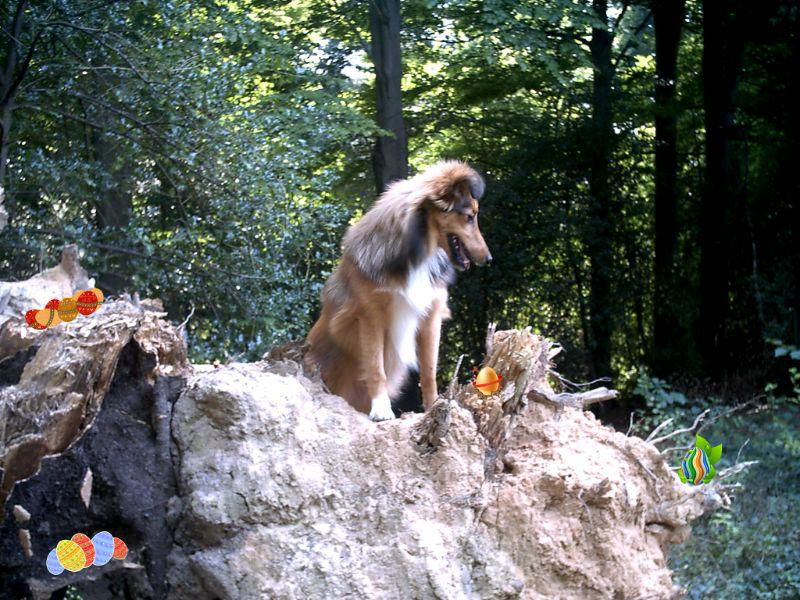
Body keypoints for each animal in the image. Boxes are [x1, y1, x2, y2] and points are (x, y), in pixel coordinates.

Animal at [306, 162, 494, 420]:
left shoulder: (431, 315)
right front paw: (381, 410)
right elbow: (376, 368)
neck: (419, 253)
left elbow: (429, 371)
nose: (488, 258)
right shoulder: (370, 316)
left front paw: (433, 406)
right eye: (469, 217)